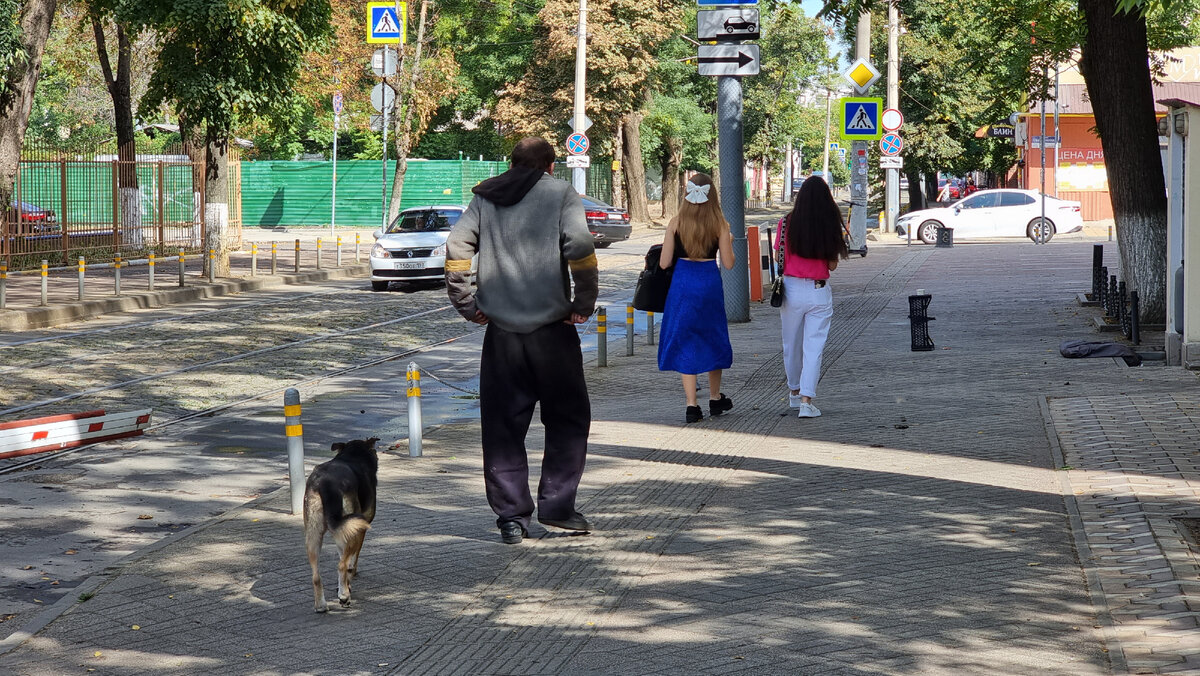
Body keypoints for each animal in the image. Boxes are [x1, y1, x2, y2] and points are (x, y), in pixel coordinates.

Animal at [304, 439, 379, 614]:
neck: (353, 455)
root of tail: (325, 483)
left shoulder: (341, 532)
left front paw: (342, 586)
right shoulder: (359, 530)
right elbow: (351, 563)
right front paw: (346, 587)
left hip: (313, 535)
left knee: (316, 576)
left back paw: (321, 605)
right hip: (353, 529)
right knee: (341, 565)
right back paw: (344, 597)